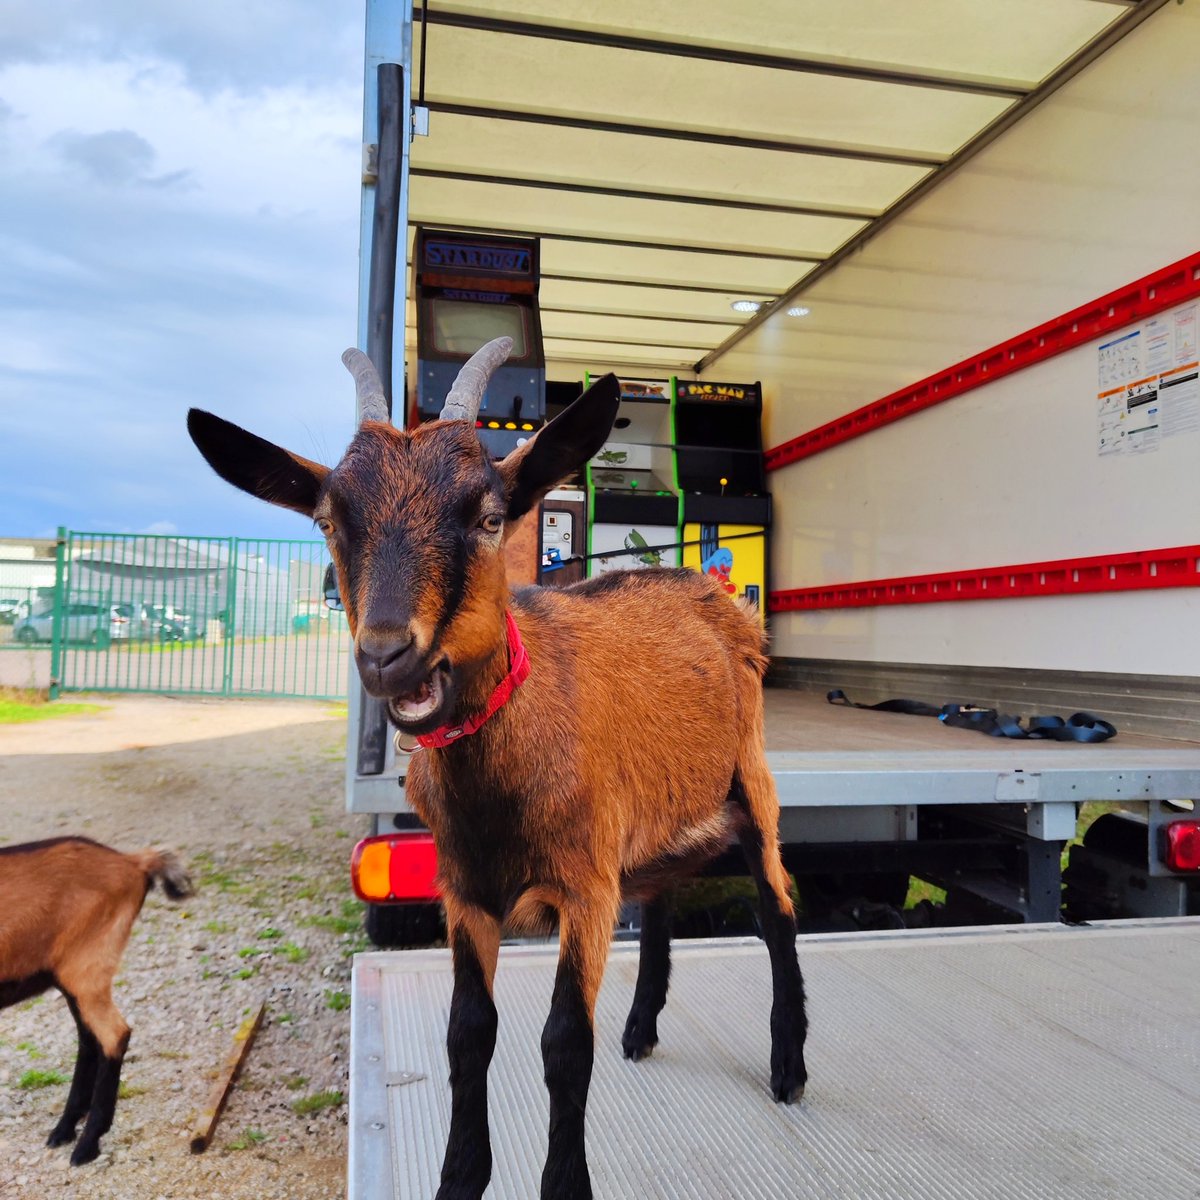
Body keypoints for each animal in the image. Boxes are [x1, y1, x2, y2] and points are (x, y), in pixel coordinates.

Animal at [0, 836, 193, 1165]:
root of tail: (133, 861)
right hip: (72, 975)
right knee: (89, 1038)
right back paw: (64, 1130)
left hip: (86, 965)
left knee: (113, 1034)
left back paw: (87, 1144)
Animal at [187, 338, 807, 1200]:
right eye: (329, 523)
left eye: (487, 517)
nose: (388, 656)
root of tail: (713, 589)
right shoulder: (465, 891)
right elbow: (467, 1032)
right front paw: (459, 1177)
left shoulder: (584, 888)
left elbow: (563, 1042)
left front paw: (565, 1183)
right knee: (662, 895)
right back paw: (642, 1024)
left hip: (752, 784)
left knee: (777, 906)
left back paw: (789, 1065)